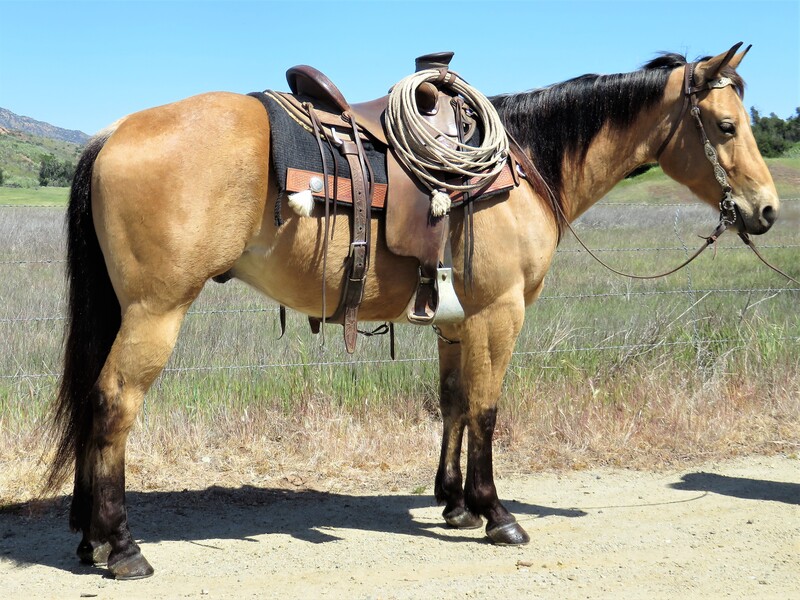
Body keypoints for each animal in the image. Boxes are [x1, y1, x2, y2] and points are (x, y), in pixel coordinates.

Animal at [47, 42, 780, 576]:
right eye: (725, 126)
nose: (767, 210)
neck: (524, 166)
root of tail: (112, 133)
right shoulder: (499, 315)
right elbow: (486, 410)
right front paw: (496, 514)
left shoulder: (457, 322)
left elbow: (452, 402)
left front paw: (454, 503)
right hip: (155, 310)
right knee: (113, 403)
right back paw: (121, 547)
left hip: (123, 309)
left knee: (92, 400)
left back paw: (90, 539)